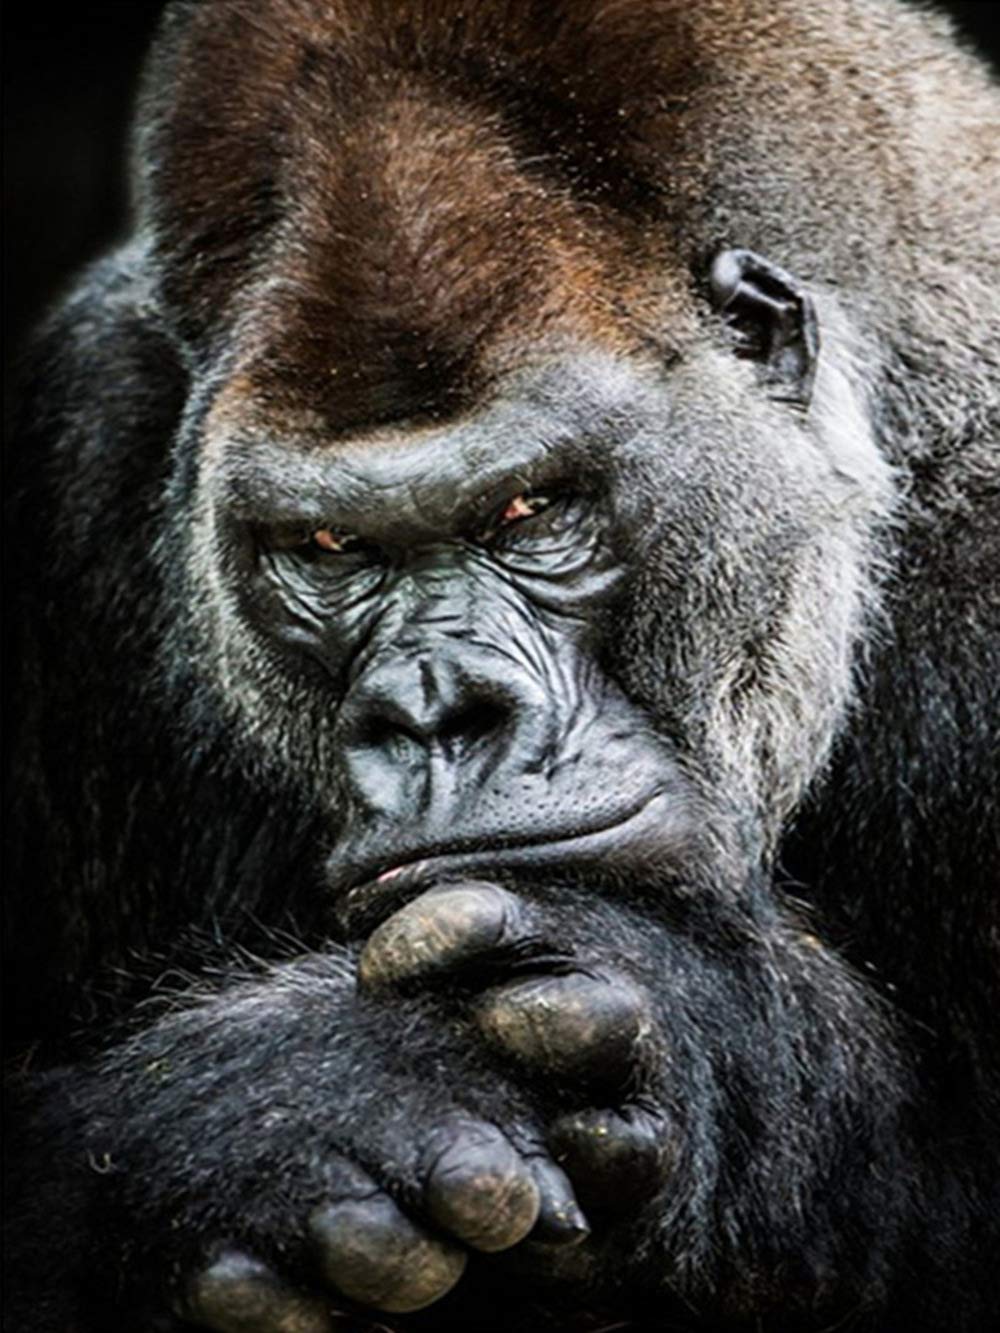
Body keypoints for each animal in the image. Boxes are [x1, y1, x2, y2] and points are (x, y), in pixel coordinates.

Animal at [4, 1, 998, 1330]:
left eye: (531, 511)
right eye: (327, 547)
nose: (436, 711)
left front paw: (696, 1031)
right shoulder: (85, 443)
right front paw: (278, 1113)